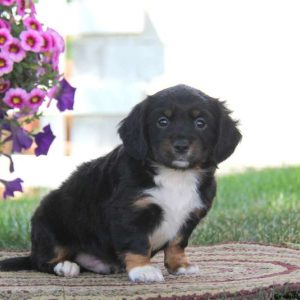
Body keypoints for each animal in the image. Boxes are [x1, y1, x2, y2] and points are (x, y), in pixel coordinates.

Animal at [0, 85, 241, 284]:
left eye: (201, 123)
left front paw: (180, 266)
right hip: (49, 222)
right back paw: (65, 266)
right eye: (162, 121)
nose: (181, 146)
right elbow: (137, 243)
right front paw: (143, 270)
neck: (175, 175)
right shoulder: (130, 212)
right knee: (41, 261)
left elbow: (177, 243)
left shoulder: (189, 216)